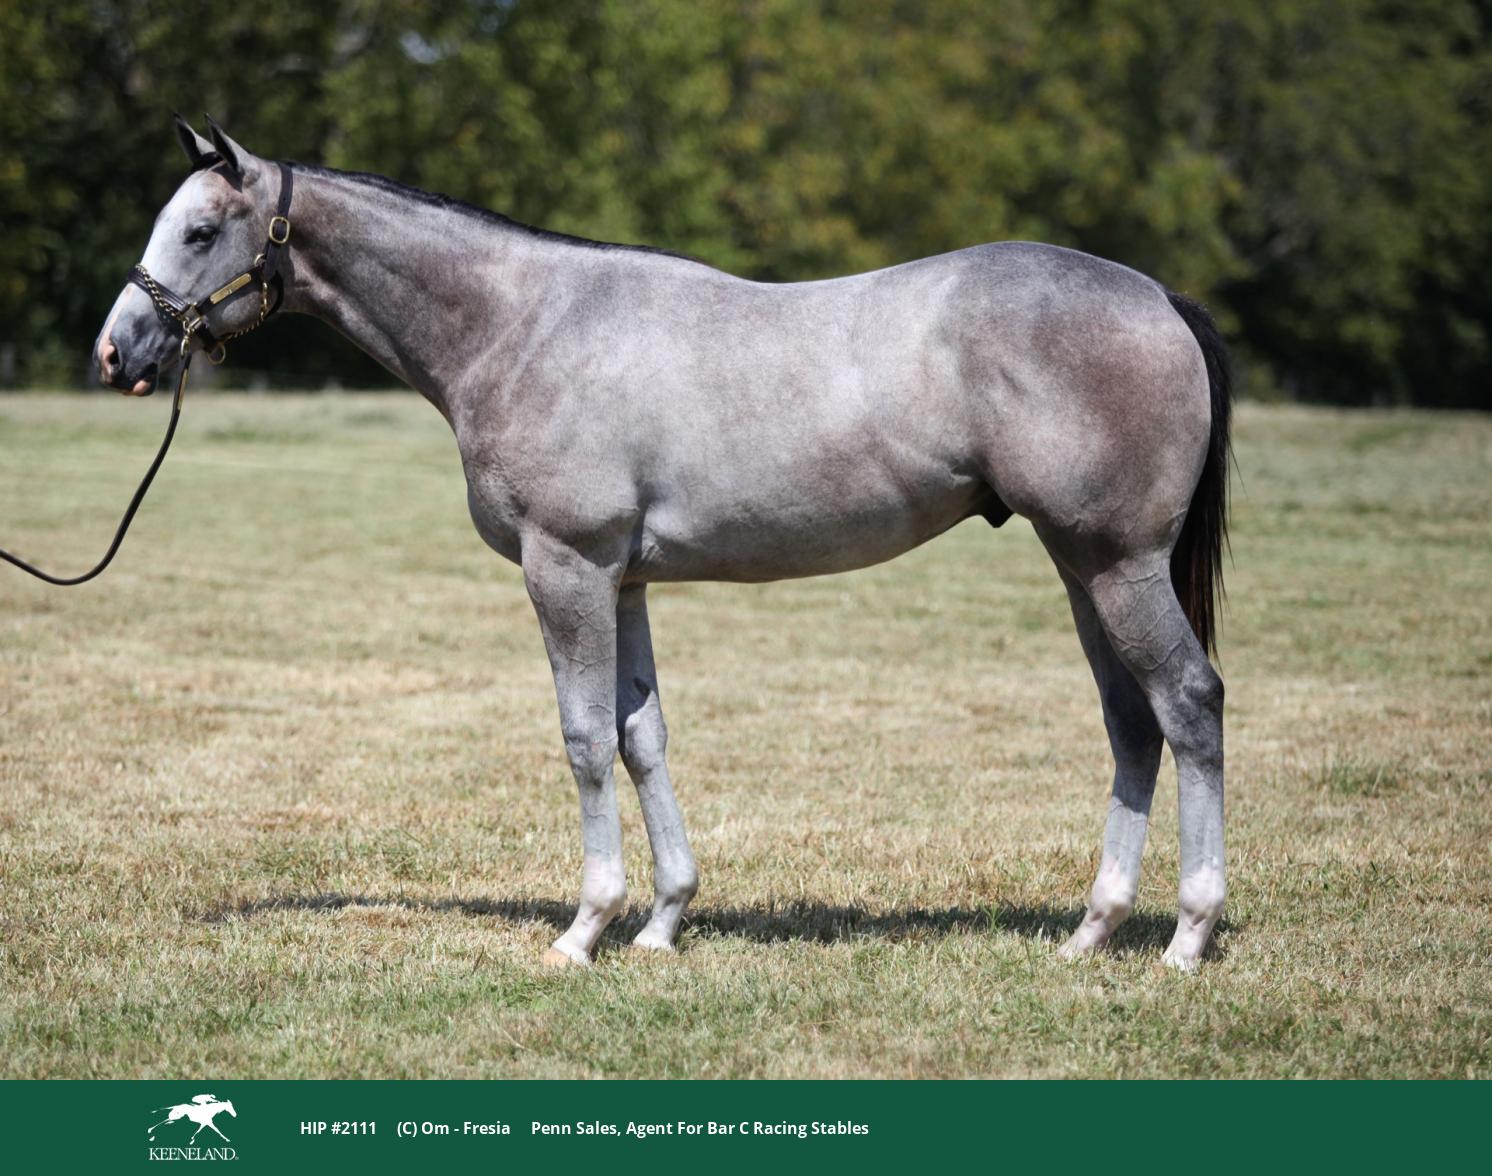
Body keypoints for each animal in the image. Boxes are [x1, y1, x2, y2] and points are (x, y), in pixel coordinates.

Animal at [96, 119, 1235, 967]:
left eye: (200, 231)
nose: (117, 352)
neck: (522, 328)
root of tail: (1159, 297)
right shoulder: (624, 581)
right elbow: (642, 737)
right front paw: (661, 922)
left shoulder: (567, 567)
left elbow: (584, 740)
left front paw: (584, 928)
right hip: (1079, 565)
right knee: (1130, 724)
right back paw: (1091, 932)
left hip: (1117, 565)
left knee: (1188, 705)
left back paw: (1186, 936)